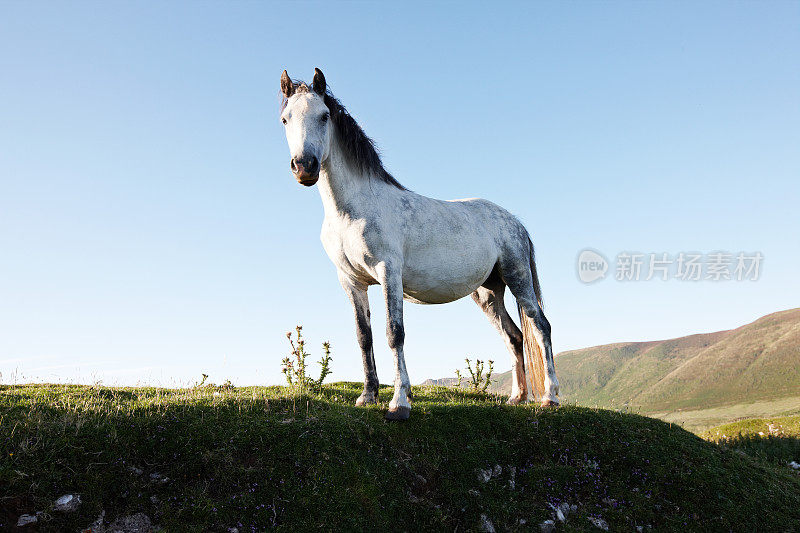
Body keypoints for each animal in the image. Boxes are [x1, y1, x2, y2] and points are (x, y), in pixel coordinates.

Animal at [278, 68, 560, 420]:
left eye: (324, 115)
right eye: (285, 119)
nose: (305, 167)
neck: (352, 211)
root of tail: (515, 222)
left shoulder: (389, 273)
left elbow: (393, 333)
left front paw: (399, 403)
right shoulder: (352, 282)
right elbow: (364, 337)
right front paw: (367, 396)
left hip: (517, 277)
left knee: (541, 326)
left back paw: (550, 397)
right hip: (488, 293)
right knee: (514, 336)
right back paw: (517, 397)